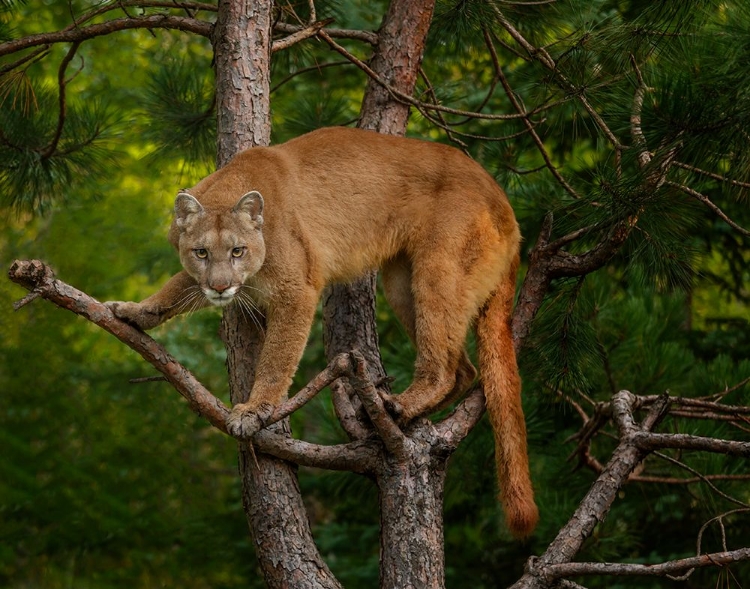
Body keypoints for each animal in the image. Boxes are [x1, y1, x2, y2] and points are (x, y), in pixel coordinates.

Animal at [107, 125, 540, 536]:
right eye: (201, 252)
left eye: (237, 251)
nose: (219, 286)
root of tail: (503, 201)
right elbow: (177, 286)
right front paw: (135, 311)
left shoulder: (297, 291)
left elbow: (278, 358)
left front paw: (254, 409)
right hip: (401, 280)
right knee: (465, 368)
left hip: (438, 269)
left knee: (446, 365)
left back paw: (401, 405)